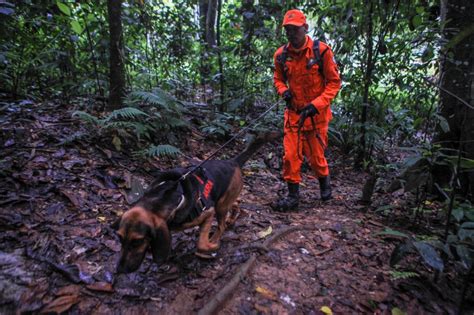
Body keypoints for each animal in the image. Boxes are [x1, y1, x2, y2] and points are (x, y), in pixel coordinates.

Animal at [114, 132, 278, 272]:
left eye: (137, 241)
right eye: (120, 238)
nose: (119, 270)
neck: (162, 199)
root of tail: (233, 162)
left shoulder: (208, 213)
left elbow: (201, 244)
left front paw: (211, 247)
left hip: (219, 207)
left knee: (221, 226)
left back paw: (216, 237)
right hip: (223, 200)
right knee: (236, 204)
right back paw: (233, 217)